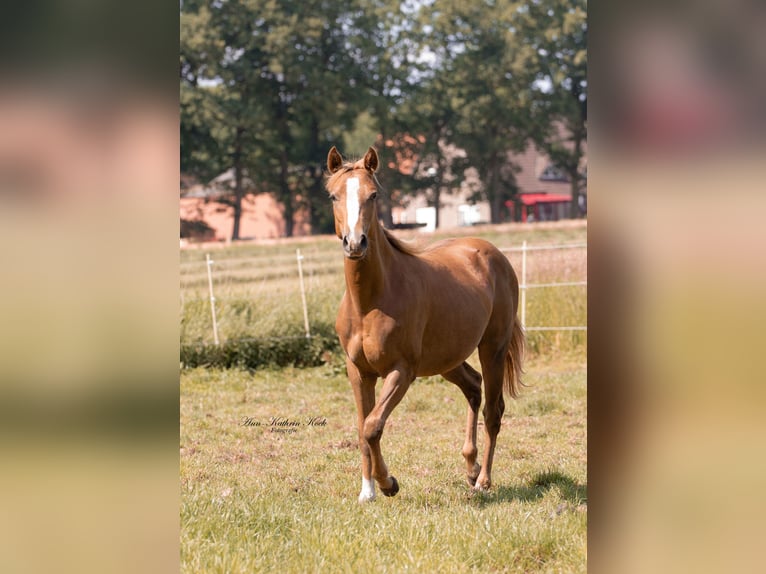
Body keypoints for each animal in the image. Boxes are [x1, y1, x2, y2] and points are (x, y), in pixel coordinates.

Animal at [326, 145, 525, 502]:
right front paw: (368, 491)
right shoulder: (357, 371)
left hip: (493, 349)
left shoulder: (401, 371)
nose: (355, 243)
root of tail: (493, 254)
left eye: (373, 195)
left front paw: (389, 483)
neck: (370, 303)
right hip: (447, 359)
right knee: (473, 387)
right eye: (334, 195)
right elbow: (362, 429)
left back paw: (483, 481)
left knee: (493, 410)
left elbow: (373, 425)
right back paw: (470, 466)